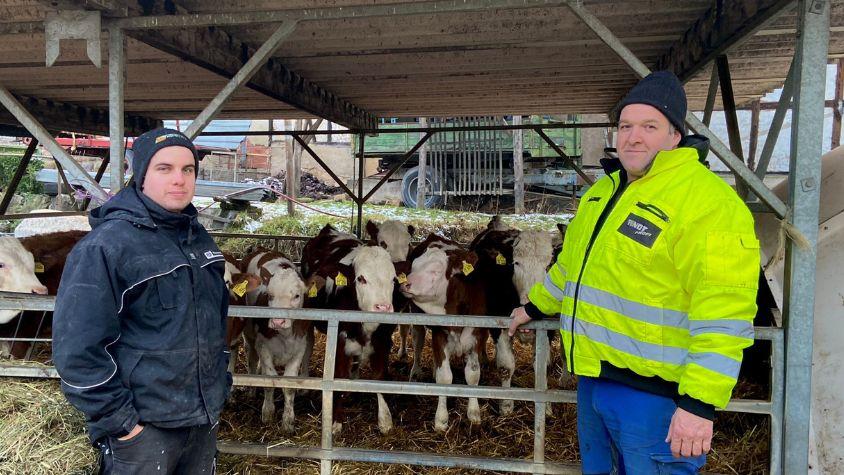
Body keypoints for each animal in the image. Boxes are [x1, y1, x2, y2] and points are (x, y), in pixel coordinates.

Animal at [302, 225, 398, 436]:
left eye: (394, 279)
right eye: (361, 278)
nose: (383, 307)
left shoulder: (383, 341)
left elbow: (379, 377)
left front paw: (385, 419)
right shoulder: (339, 342)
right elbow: (338, 376)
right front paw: (336, 421)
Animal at [398, 236, 484, 434]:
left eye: (436, 271)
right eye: (413, 266)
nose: (404, 283)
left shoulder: (477, 337)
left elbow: (473, 375)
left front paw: (474, 414)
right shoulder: (439, 337)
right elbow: (444, 377)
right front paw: (441, 419)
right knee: (418, 343)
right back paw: (415, 372)